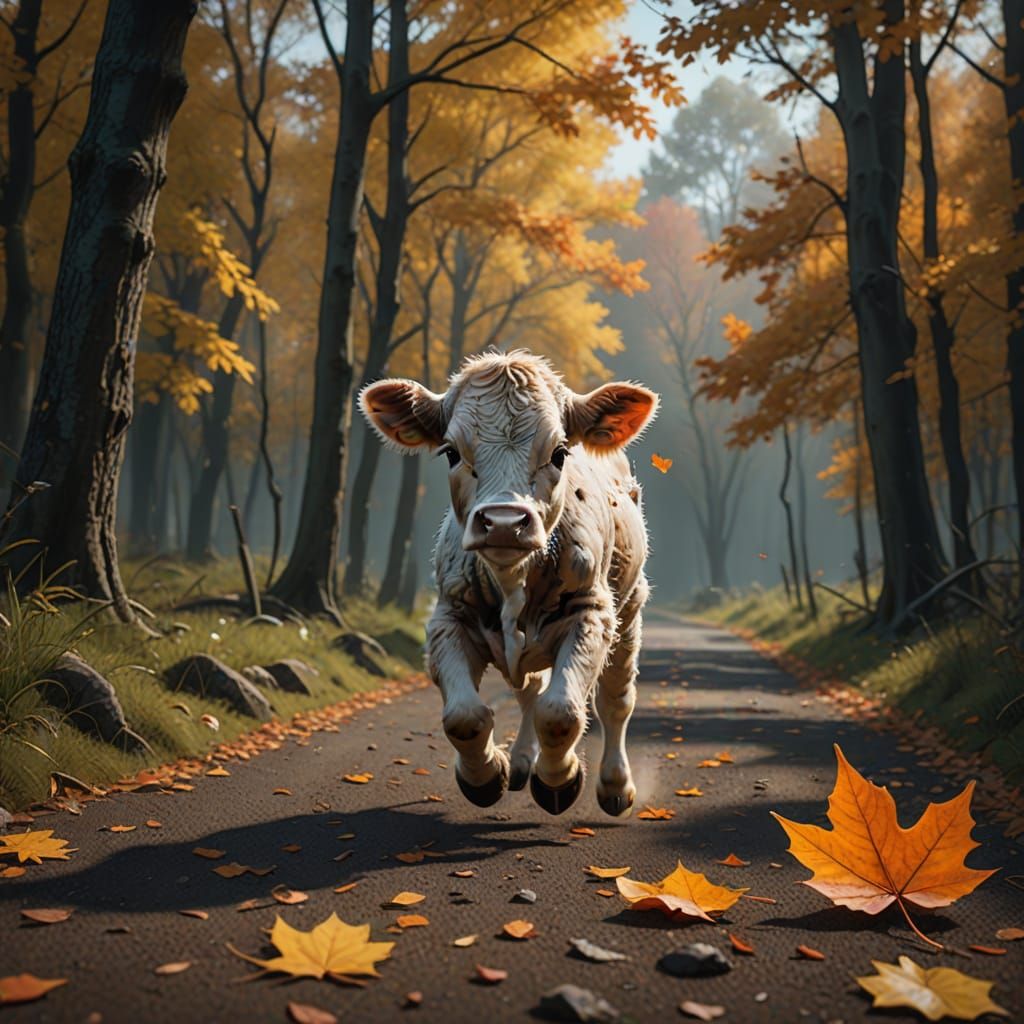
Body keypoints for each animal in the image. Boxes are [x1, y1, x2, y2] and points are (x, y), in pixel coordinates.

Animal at [359, 351, 657, 816]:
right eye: (450, 452)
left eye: (559, 453)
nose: (503, 522)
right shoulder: (448, 617)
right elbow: (464, 716)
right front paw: (486, 775)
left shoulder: (591, 613)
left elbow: (561, 712)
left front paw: (559, 780)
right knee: (530, 692)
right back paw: (519, 762)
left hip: (629, 610)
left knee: (615, 699)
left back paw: (614, 785)